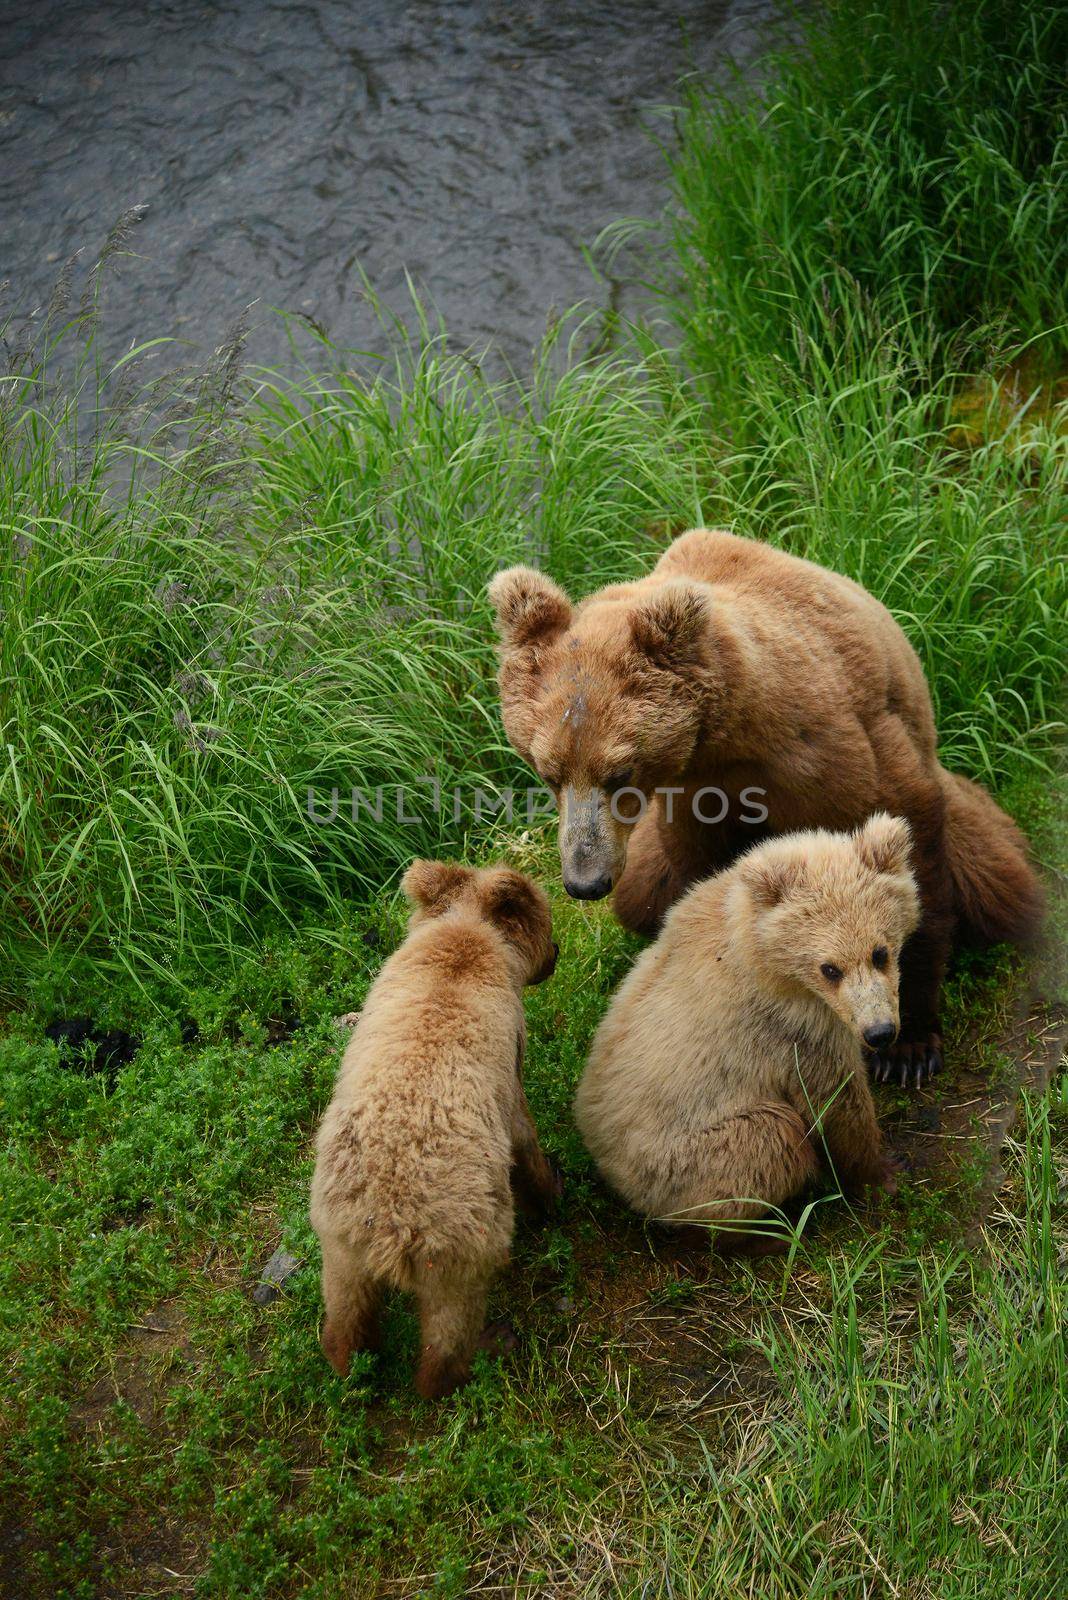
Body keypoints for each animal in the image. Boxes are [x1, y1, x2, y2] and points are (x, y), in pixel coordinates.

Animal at [492, 528, 1042, 1088]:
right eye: (548, 772)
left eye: (619, 773)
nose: (585, 881)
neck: (738, 733)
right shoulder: (697, 796)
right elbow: (691, 881)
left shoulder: (837, 748)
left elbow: (907, 843)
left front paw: (909, 1044)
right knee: (643, 891)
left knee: (994, 880)